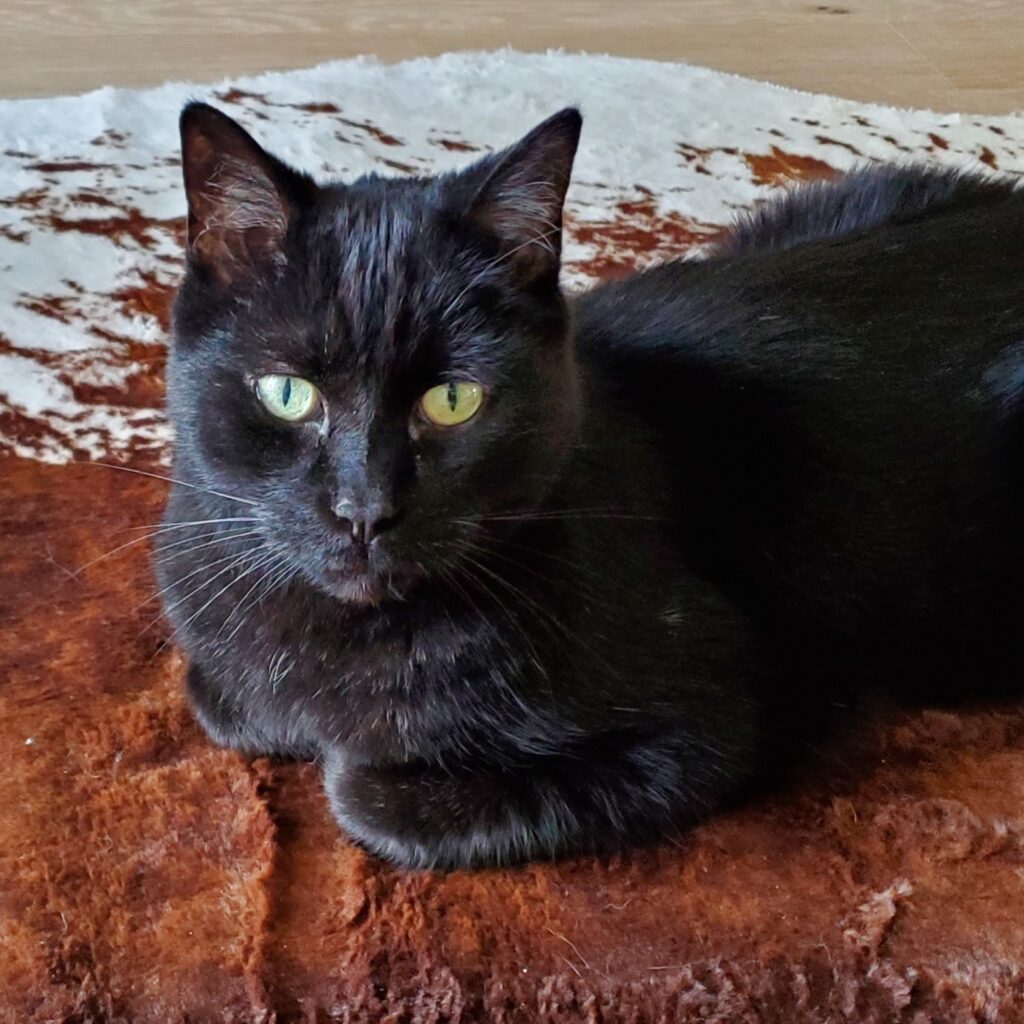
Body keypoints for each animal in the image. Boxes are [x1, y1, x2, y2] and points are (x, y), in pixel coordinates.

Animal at [157, 103, 1024, 868]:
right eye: (288, 393)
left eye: (452, 400)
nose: (364, 509)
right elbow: (224, 701)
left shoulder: (715, 718)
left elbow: (369, 797)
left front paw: (354, 764)